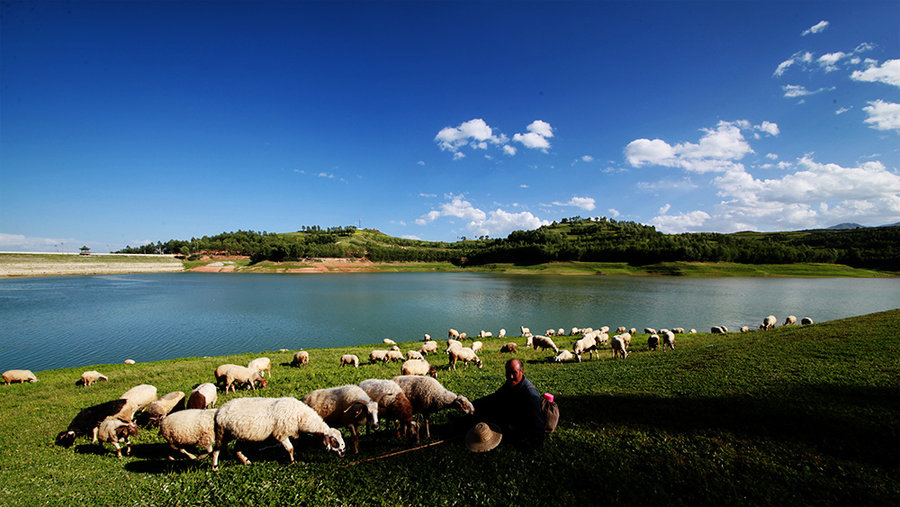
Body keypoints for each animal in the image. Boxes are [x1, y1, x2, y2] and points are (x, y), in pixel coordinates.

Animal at [213, 396, 346, 472]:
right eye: (334, 441)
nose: (344, 453)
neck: (301, 417)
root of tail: (220, 410)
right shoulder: (281, 433)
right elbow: (290, 448)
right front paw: (293, 461)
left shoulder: (291, 433)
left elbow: (293, 446)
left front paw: (286, 457)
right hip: (222, 433)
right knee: (216, 451)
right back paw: (215, 467)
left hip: (238, 435)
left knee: (236, 449)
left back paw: (245, 461)